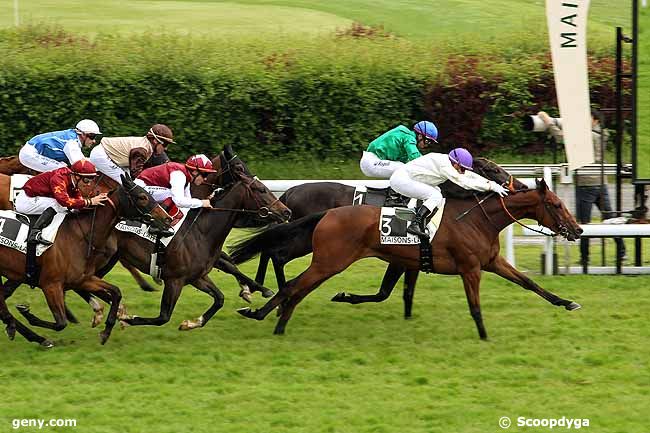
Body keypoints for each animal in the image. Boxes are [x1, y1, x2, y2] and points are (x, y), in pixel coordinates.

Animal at [0, 174, 171, 346]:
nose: (167, 218)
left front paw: (107, 331)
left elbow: (116, 292)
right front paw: (27, 314)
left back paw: (23, 331)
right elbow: (60, 323)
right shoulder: (50, 284)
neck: (79, 235)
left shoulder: (82, 279)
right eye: (142, 197)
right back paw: (29, 333)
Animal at [229, 179, 584, 338]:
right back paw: (267, 315)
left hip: (325, 260)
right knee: (291, 281)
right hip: (329, 261)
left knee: (291, 281)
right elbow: (474, 306)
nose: (578, 229)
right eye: (555, 204)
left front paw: (566, 302)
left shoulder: (490, 262)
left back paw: (268, 314)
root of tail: (327, 213)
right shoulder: (470, 268)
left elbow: (529, 283)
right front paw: (484, 335)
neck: (477, 219)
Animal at [251, 159, 520, 318]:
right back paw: (274, 298)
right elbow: (390, 290)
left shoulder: (415, 255)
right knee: (276, 254)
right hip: (306, 240)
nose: (518, 185)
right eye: (493, 170)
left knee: (271, 251)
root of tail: (288, 192)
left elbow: (406, 291)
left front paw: (408, 316)